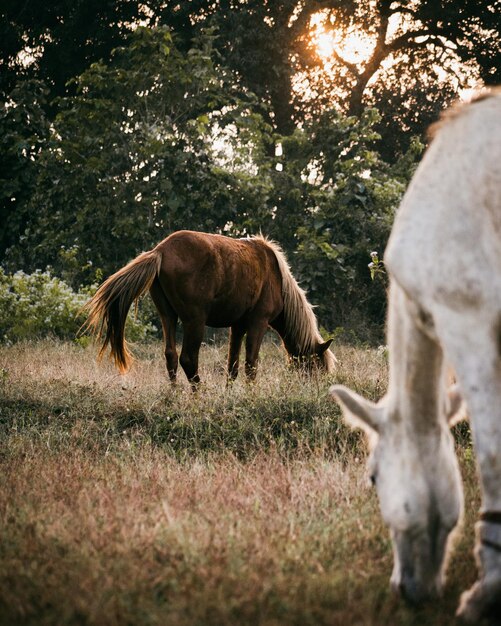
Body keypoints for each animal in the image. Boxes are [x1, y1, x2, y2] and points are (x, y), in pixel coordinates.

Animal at [83, 229, 336, 386]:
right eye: (316, 367)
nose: (312, 390)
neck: (277, 278)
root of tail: (160, 251)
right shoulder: (258, 322)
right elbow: (250, 365)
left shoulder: (238, 326)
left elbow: (232, 366)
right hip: (195, 321)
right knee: (188, 359)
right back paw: (199, 394)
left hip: (168, 316)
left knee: (170, 355)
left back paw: (173, 395)